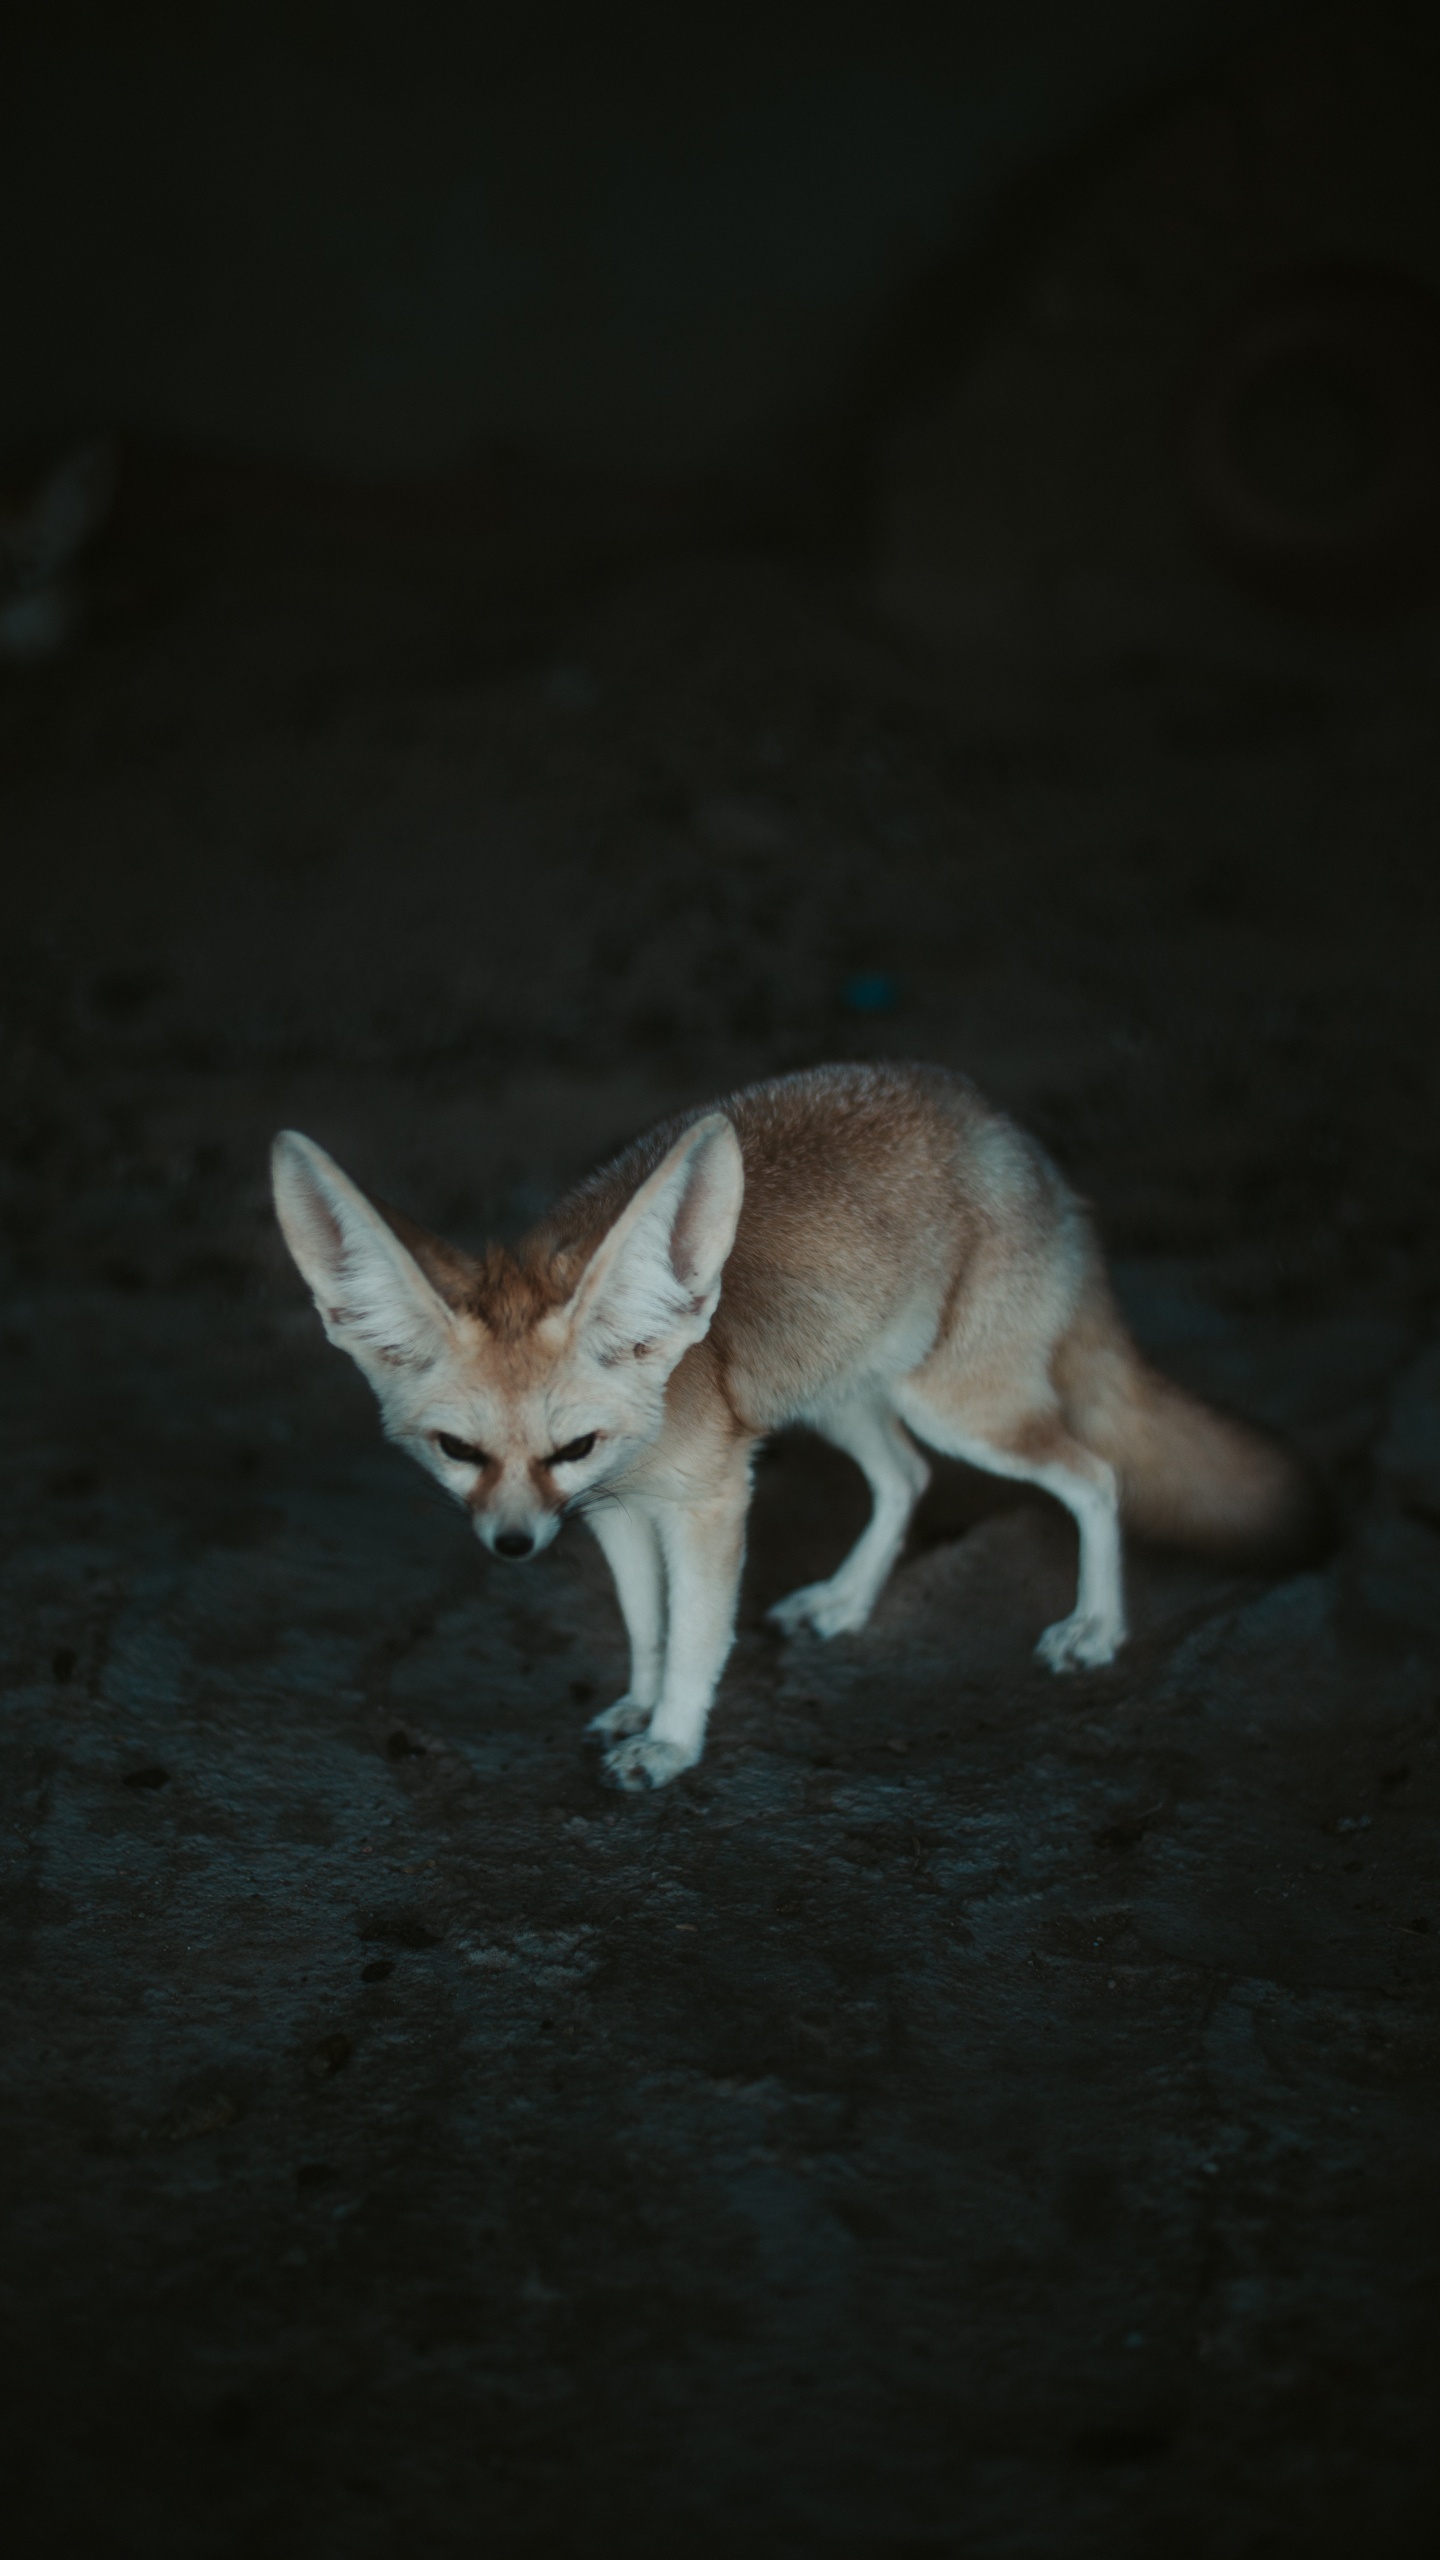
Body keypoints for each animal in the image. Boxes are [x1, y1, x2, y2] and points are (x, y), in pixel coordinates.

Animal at [271, 1062, 1314, 1792]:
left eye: (573, 1446)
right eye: (458, 1452)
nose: (513, 1546)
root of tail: (1018, 1141)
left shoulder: (706, 1502)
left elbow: (696, 1634)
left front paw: (672, 1741)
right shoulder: (615, 1512)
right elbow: (645, 1626)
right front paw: (638, 1705)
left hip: (958, 1408)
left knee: (1095, 1475)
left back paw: (1096, 1627)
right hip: (845, 1399)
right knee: (906, 1479)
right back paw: (846, 1602)